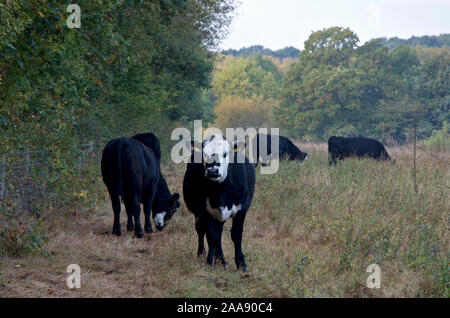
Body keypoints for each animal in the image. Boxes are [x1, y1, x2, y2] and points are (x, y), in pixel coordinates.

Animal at [182, 134, 255, 270]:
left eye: (225, 154)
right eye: (204, 154)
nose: (212, 171)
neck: (220, 190)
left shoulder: (241, 208)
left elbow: (236, 234)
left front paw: (241, 264)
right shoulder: (205, 210)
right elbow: (211, 235)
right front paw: (210, 262)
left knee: (219, 233)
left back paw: (221, 259)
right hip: (198, 212)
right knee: (201, 230)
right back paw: (202, 254)